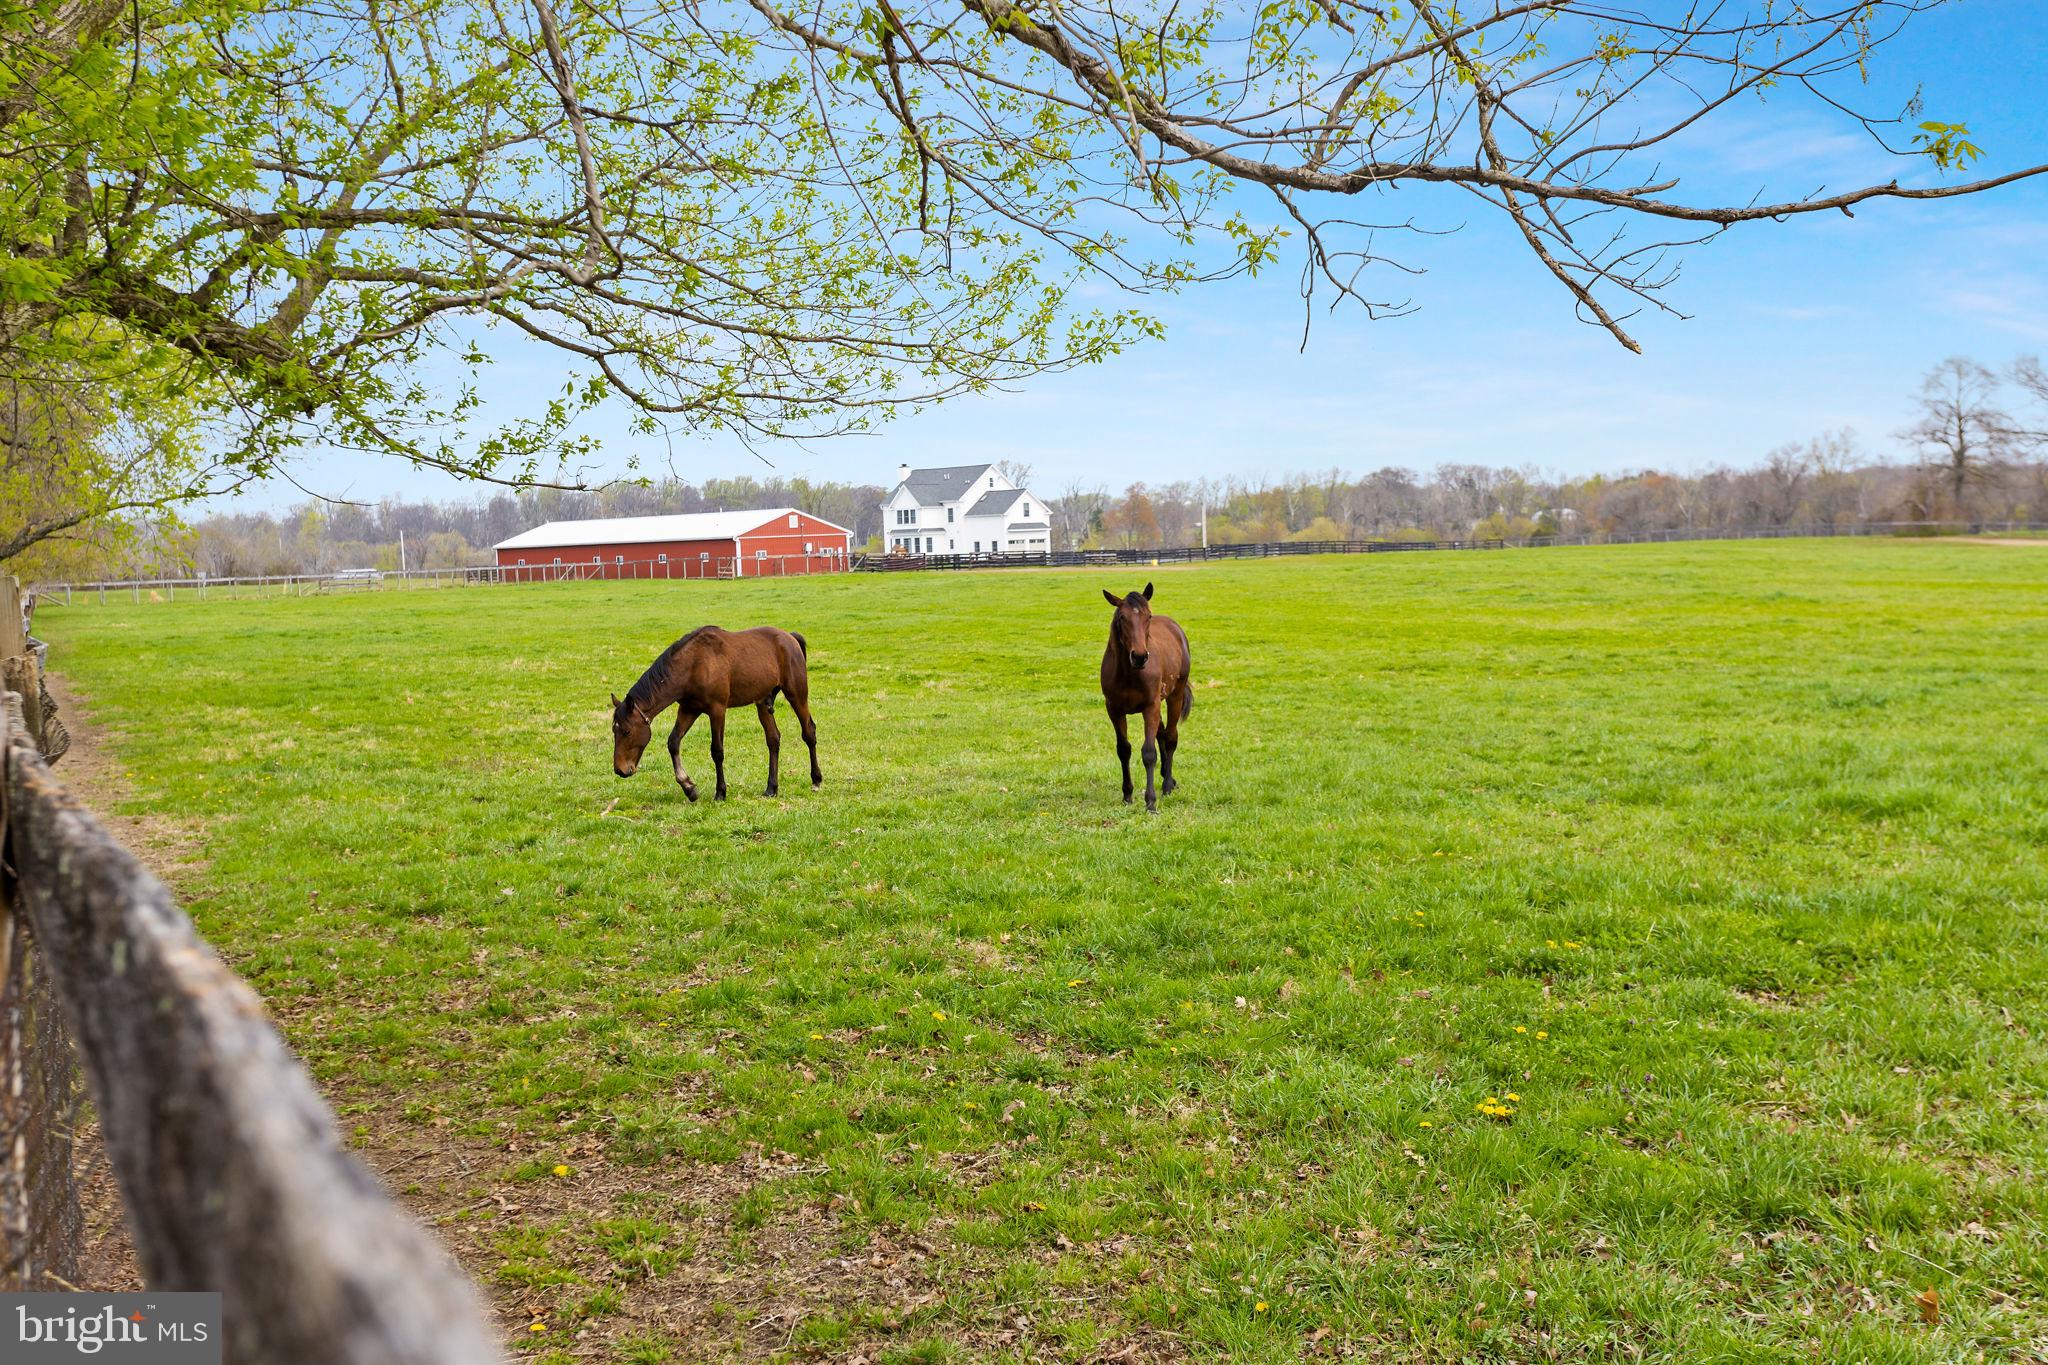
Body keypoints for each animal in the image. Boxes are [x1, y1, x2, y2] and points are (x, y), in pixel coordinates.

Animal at [609, 625, 821, 801]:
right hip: (762, 702)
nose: (619, 770)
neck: (694, 664)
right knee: (773, 739)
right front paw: (689, 788)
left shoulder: (717, 710)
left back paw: (816, 780)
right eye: (614, 731)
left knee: (808, 731)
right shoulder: (689, 709)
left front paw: (720, 792)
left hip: (796, 694)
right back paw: (771, 788)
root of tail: (790, 637)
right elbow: (673, 742)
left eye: (627, 731)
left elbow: (717, 751)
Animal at [1099, 582, 1192, 812]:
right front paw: (1127, 794)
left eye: (1148, 616)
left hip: (1174, 696)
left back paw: (1167, 785)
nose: (1140, 656)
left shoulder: (1150, 706)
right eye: (1122, 617)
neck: (1129, 673)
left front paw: (1150, 801)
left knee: (1171, 736)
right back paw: (1168, 778)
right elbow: (1123, 749)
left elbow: (1149, 753)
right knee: (1162, 732)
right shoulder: (1114, 709)